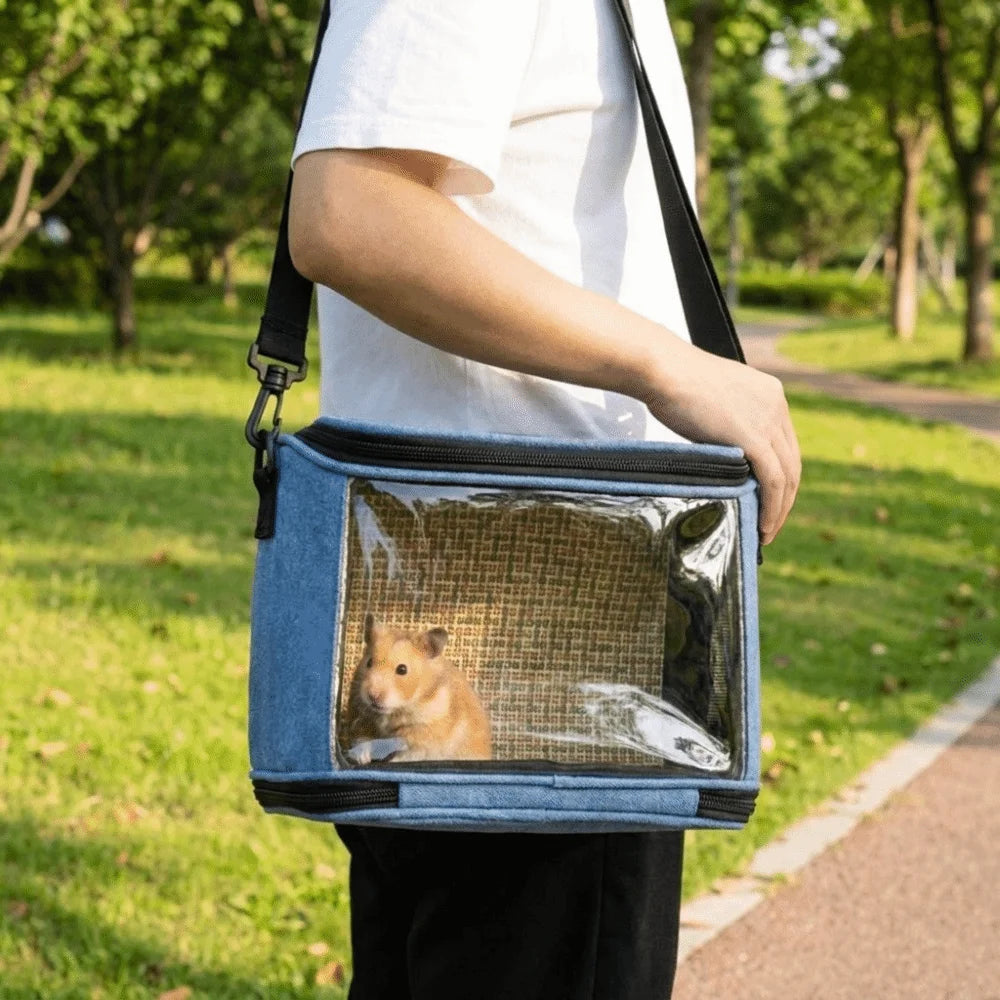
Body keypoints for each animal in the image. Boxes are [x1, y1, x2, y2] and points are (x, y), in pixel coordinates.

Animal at [345, 614, 493, 764]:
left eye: (402, 669)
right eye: (369, 662)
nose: (373, 696)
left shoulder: (424, 736)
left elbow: (406, 754)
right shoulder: (361, 720)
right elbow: (363, 739)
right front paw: (362, 759)